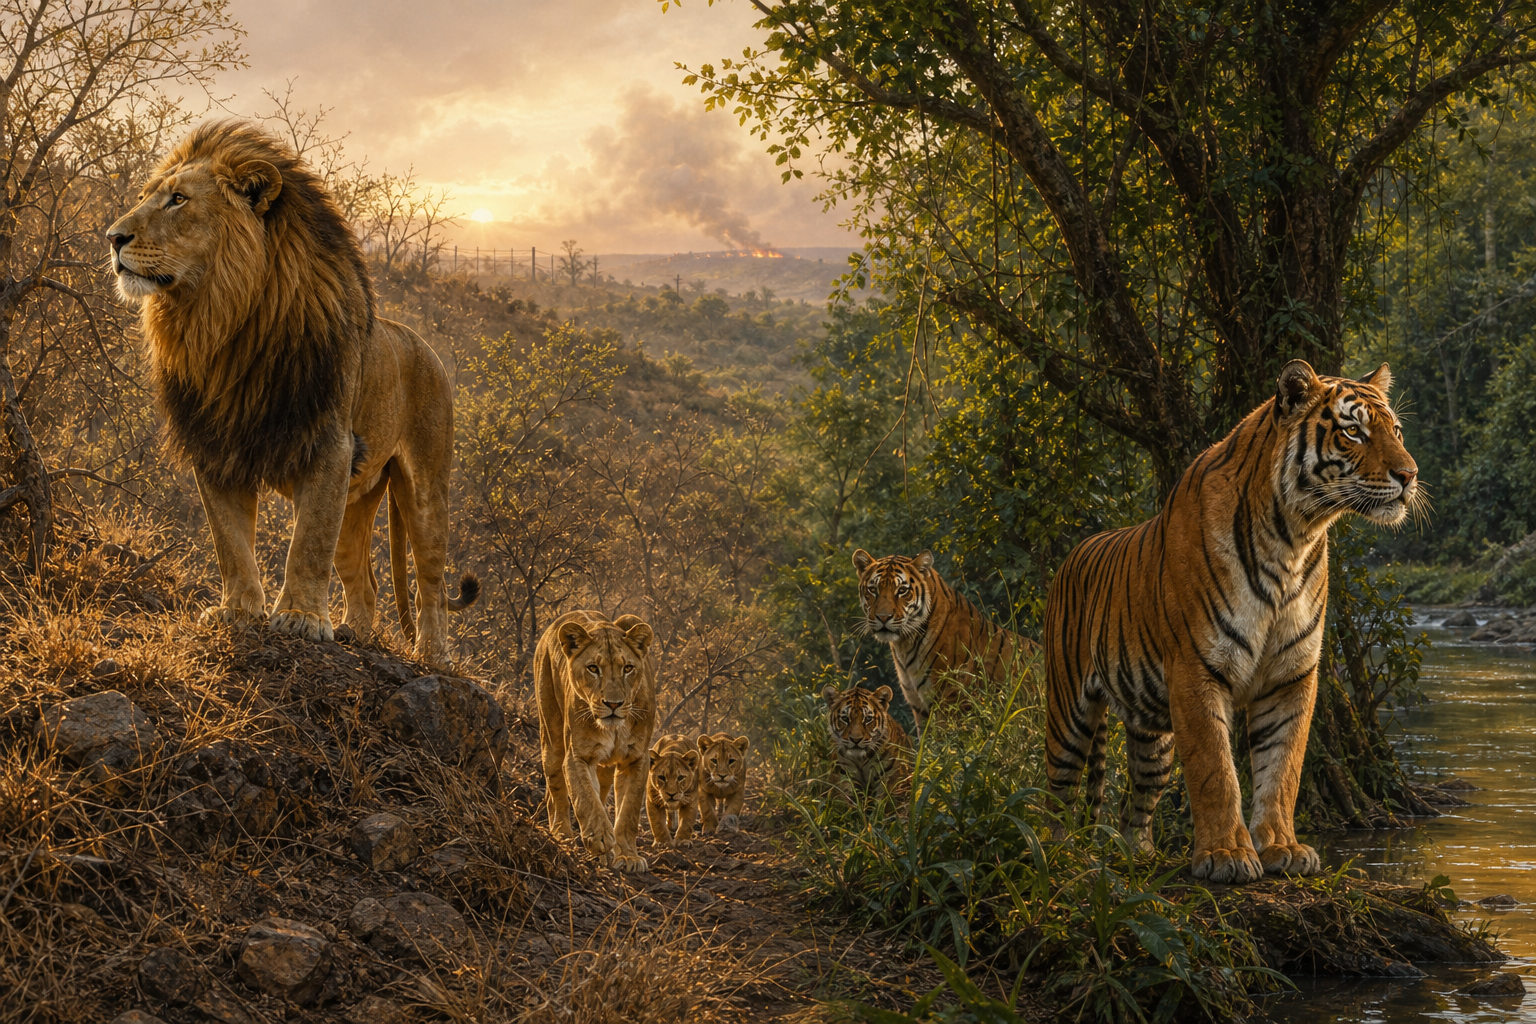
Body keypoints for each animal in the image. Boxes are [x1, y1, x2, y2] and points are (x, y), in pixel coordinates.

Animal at [105, 121, 476, 663]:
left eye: (178, 199)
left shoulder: (329, 447)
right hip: (358, 497)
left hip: (427, 489)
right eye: (144, 198)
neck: (223, 326)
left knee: (432, 583)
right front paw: (238, 611)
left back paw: (433, 655)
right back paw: (354, 634)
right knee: (363, 583)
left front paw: (300, 619)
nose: (112, 237)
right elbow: (231, 543)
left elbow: (308, 544)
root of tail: (421, 343)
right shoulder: (216, 447)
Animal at [535, 610, 656, 873]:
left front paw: (628, 856)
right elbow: (585, 797)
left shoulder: (636, 759)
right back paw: (562, 833)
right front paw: (599, 838)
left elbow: (629, 811)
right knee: (556, 790)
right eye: (593, 668)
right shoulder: (578, 756)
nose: (613, 704)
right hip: (552, 738)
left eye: (628, 668)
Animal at [853, 549, 1039, 730]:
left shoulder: (951, 700)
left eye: (902, 591)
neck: (905, 645)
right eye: (873, 590)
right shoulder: (918, 705)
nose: (883, 617)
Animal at [1043, 361, 1419, 884]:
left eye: (1396, 431)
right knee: (1055, 796)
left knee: (1135, 805)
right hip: (1067, 715)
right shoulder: (1195, 670)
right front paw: (1226, 855)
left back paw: (1140, 856)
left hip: (1152, 740)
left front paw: (1282, 847)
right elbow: (1215, 771)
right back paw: (1056, 856)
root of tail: (1073, 554)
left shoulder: (1291, 676)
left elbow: (1282, 769)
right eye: (1353, 431)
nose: (1409, 474)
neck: (1293, 537)